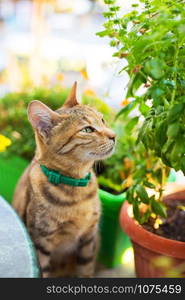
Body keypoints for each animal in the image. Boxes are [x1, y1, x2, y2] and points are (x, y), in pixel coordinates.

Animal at [12, 82, 115, 278]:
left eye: (102, 120)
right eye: (87, 129)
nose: (114, 135)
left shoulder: (89, 238)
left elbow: (86, 270)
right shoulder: (41, 242)